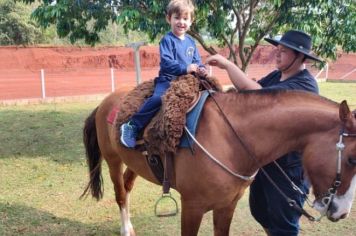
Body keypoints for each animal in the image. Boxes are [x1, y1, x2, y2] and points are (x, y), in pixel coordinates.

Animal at [81, 89, 356, 236]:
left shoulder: (227, 206)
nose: (342, 212)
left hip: (134, 164)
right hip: (113, 160)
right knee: (120, 195)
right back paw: (125, 228)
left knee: (127, 188)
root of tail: (106, 102)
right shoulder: (192, 207)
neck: (229, 139)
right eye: (352, 158)